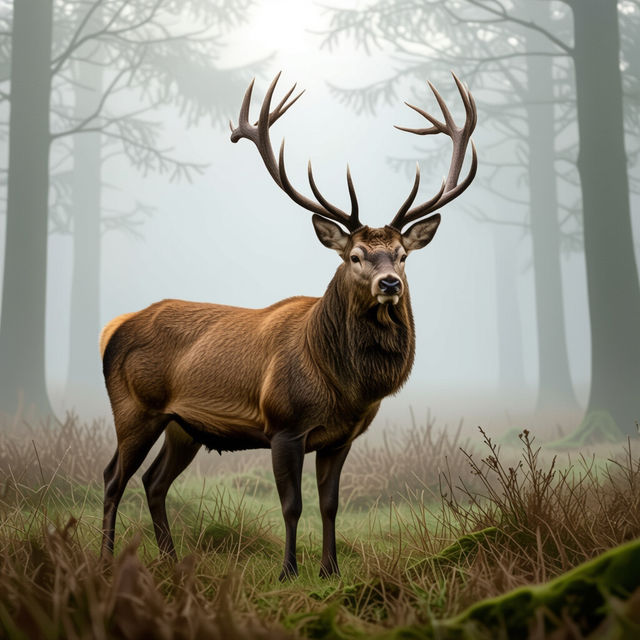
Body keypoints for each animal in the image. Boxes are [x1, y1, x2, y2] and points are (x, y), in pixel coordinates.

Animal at [100, 72, 477, 580]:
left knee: (154, 481)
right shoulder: (284, 425)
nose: (390, 284)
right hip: (135, 408)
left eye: (402, 254)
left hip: (184, 426)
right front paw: (288, 571)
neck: (344, 384)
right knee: (112, 478)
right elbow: (292, 505)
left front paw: (330, 570)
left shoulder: (340, 437)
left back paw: (172, 560)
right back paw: (105, 560)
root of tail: (112, 328)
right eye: (355, 256)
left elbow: (330, 504)